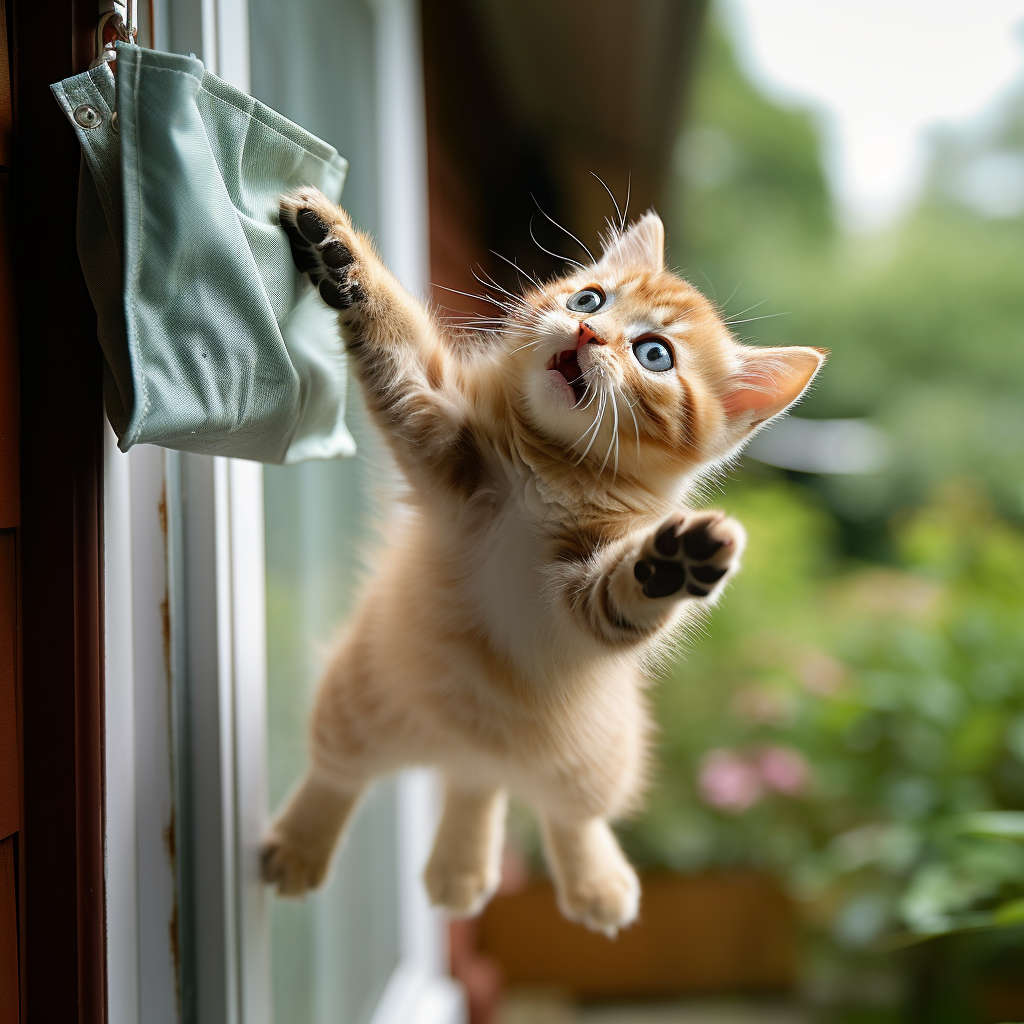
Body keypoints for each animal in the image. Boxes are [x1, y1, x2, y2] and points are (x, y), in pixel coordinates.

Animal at [264, 186, 823, 937]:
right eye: (590, 299)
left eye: (654, 354)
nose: (586, 333)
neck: (553, 475)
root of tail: (474, 747)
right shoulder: (438, 430)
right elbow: (394, 345)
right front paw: (337, 247)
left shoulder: (583, 596)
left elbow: (619, 597)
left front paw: (672, 561)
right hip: (360, 697)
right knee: (348, 773)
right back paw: (312, 845)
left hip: (597, 759)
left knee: (562, 814)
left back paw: (589, 882)